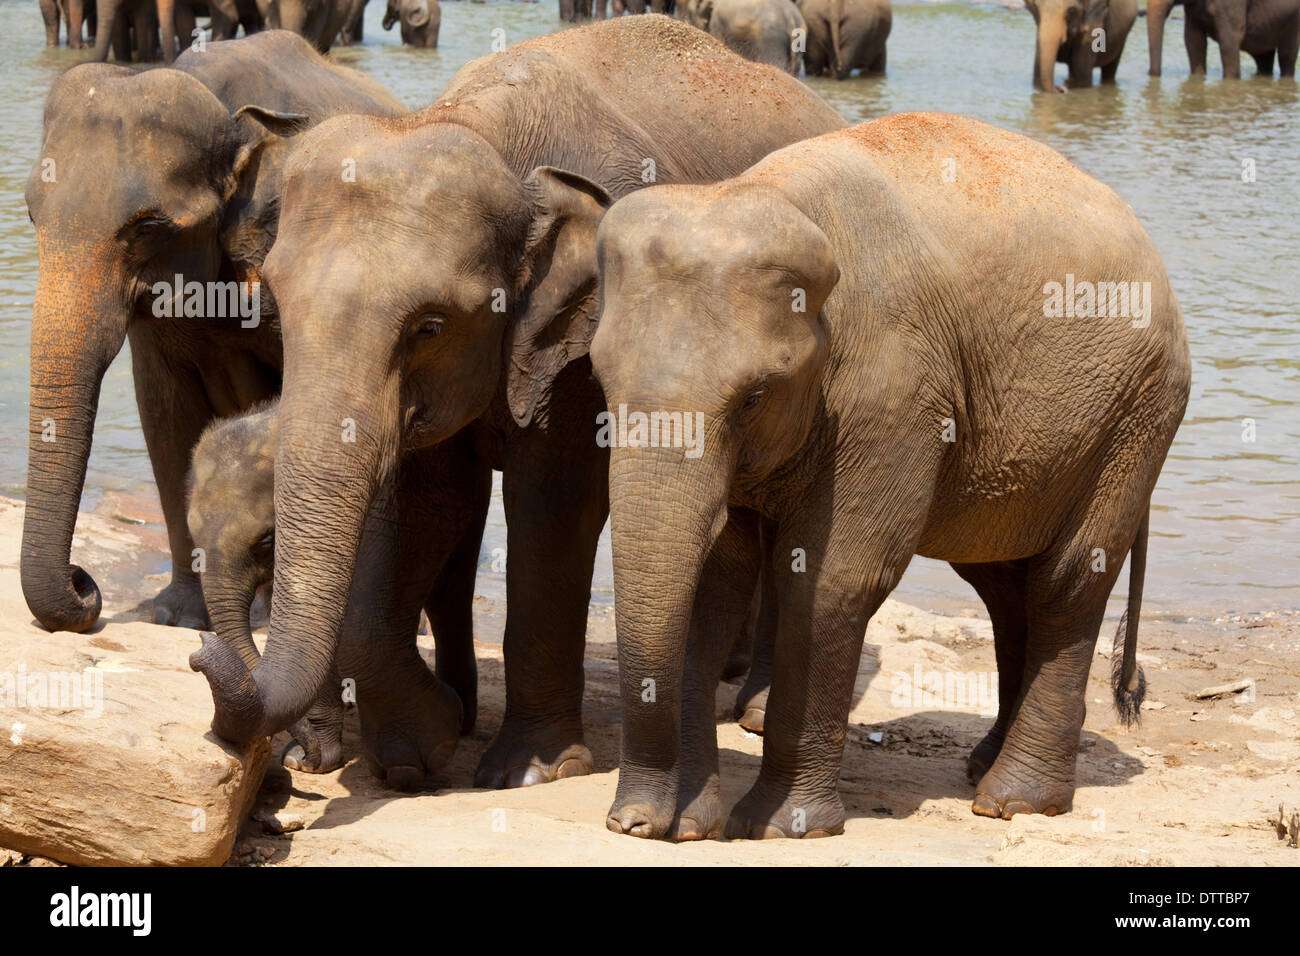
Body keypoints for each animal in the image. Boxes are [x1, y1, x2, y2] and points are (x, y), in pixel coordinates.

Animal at [589, 112, 1191, 841]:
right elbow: (714, 581)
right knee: (1002, 581)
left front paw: (780, 827)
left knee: (1066, 581)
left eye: (753, 399)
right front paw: (689, 826)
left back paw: (1012, 800)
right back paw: (983, 768)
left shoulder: (893, 392)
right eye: (599, 381)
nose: (632, 823)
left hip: (1137, 415)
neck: (768, 192)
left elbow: (831, 581)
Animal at [1147, 0, 1299, 78]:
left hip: (1294, 21)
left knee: (1287, 56)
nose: (1149, 73)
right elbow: (1193, 42)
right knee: (1263, 59)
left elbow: (1229, 41)